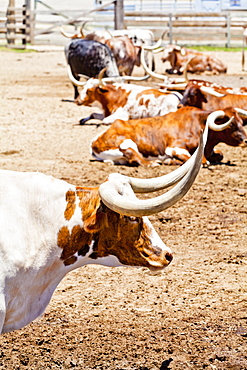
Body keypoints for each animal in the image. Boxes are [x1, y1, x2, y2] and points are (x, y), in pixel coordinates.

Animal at [90, 106, 247, 165]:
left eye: (241, 122)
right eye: (231, 124)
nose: (246, 140)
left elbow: (219, 155)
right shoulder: (174, 147)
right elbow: (202, 161)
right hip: (126, 142)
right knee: (136, 158)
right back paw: (154, 163)